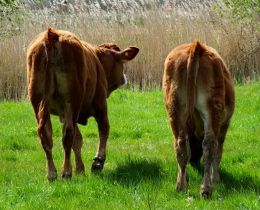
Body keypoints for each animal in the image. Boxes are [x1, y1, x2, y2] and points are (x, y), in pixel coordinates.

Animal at [26, 27, 139, 180]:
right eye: (122, 63)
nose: (124, 77)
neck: (98, 62)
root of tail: (52, 34)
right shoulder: (100, 104)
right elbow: (104, 129)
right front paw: (98, 162)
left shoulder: (63, 115)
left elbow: (78, 141)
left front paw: (80, 169)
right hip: (72, 102)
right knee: (68, 134)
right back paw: (66, 172)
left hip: (38, 102)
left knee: (46, 135)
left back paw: (51, 173)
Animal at [164, 39, 235, 199]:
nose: (194, 162)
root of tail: (195, 46)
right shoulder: (224, 125)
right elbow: (218, 151)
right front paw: (216, 178)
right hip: (212, 109)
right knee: (210, 145)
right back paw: (206, 189)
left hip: (175, 108)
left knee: (180, 144)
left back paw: (181, 186)